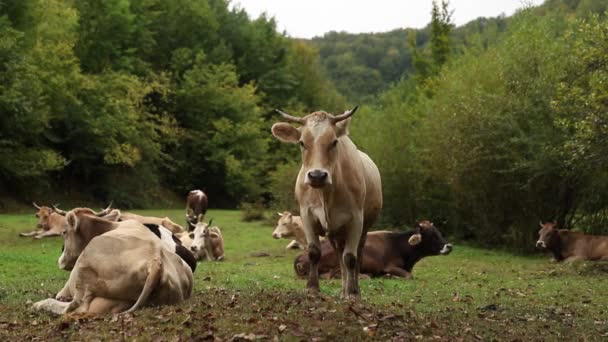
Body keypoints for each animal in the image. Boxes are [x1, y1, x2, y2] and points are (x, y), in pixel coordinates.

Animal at [32, 208, 194, 316]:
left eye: (64, 232)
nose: (61, 259)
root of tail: (156, 260)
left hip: (85, 266)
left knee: (75, 306)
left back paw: (39, 305)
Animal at [270, 106, 380, 300]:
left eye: (334, 142)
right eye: (302, 143)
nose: (317, 175)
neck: (326, 194)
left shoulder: (356, 219)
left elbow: (350, 258)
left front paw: (353, 293)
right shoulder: (306, 214)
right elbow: (314, 252)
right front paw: (312, 288)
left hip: (364, 228)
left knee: (356, 256)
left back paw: (352, 289)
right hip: (335, 234)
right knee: (339, 256)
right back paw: (343, 290)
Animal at [292, 222, 454, 280]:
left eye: (439, 232)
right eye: (432, 235)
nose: (449, 246)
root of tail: (300, 256)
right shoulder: (389, 266)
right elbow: (409, 276)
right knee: (333, 275)